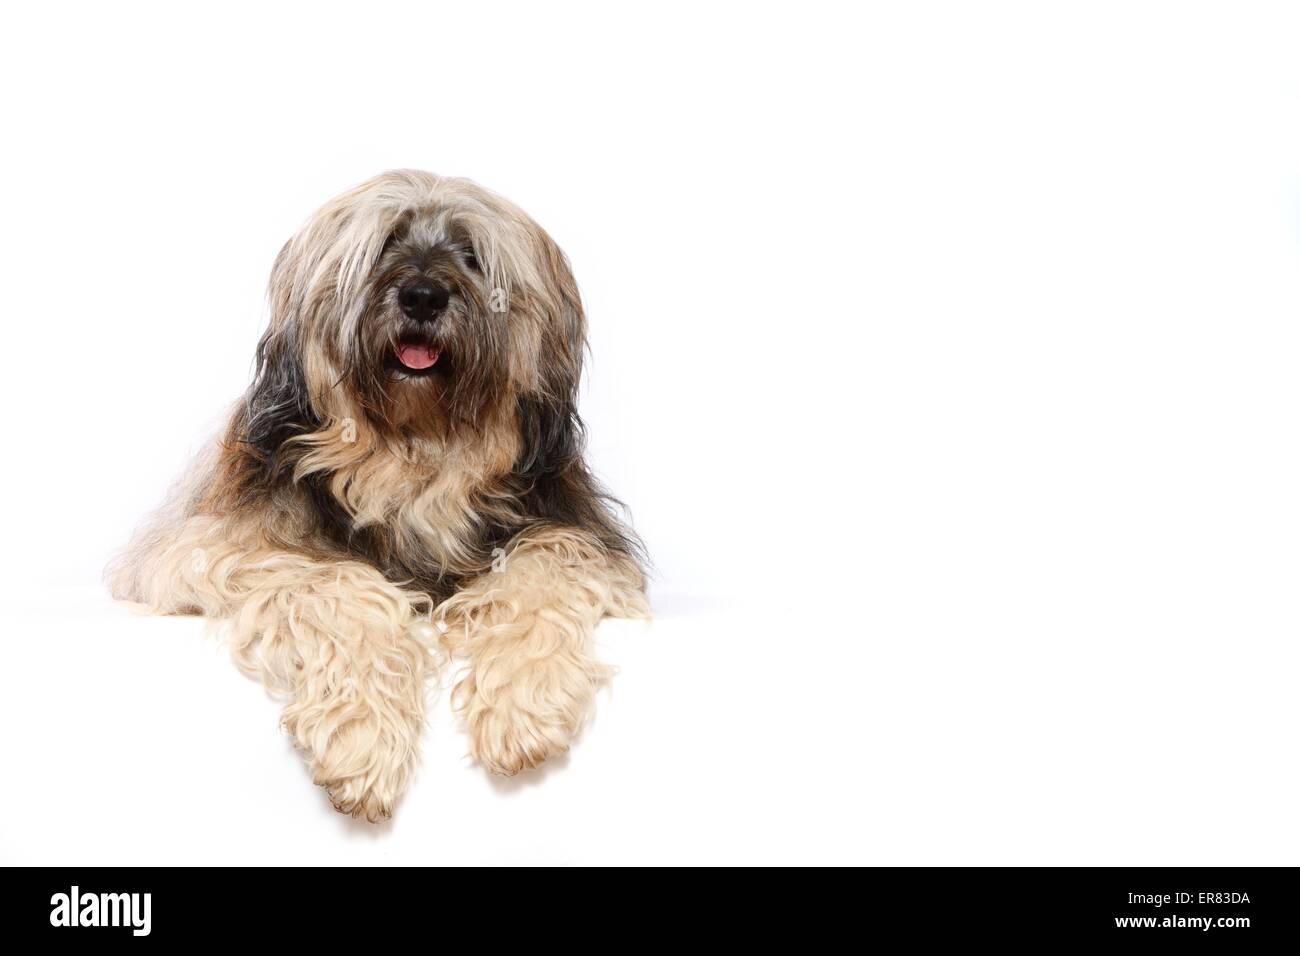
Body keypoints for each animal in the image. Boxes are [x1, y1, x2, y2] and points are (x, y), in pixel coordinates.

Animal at [109, 170, 647, 822]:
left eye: (472, 255)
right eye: (387, 243)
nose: (423, 297)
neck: (412, 458)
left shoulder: (575, 537)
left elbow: (541, 574)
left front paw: (523, 705)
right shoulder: (209, 548)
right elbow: (334, 582)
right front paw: (361, 738)